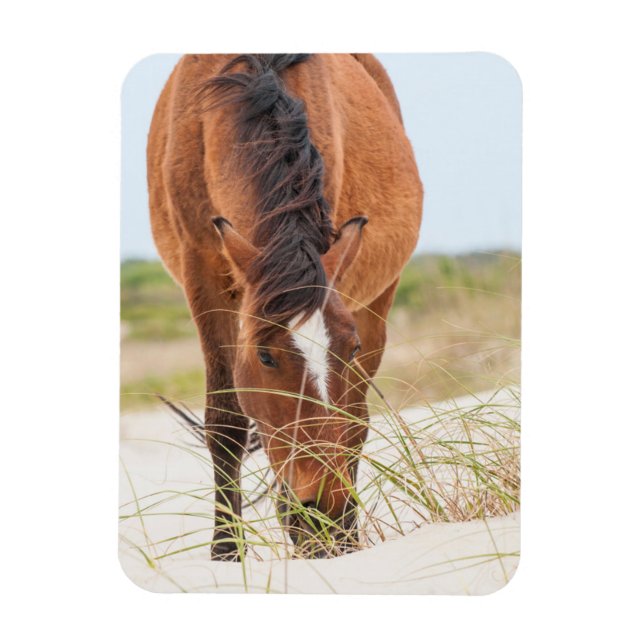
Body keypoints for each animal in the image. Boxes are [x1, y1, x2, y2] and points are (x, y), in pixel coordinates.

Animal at [147, 54, 423, 560]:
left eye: (350, 349)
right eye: (265, 356)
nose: (325, 506)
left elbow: (345, 421)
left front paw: (330, 532)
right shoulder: (202, 273)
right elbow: (227, 422)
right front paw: (226, 551)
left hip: (379, 299)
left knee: (356, 420)